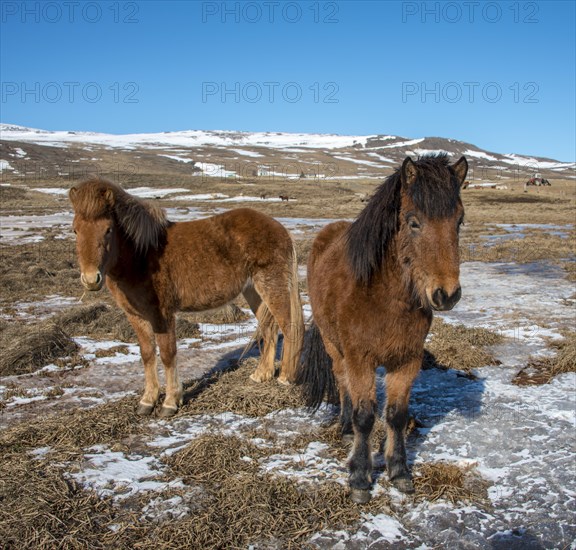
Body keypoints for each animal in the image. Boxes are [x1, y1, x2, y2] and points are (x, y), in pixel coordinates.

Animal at [69, 180, 304, 418]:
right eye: (75, 230)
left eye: (108, 230)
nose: (91, 279)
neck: (141, 256)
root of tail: (280, 229)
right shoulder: (135, 315)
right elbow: (147, 355)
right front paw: (147, 401)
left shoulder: (161, 315)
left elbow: (167, 354)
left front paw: (170, 403)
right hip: (253, 291)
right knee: (269, 327)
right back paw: (261, 375)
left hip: (272, 286)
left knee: (289, 327)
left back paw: (285, 378)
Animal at [296, 154, 468, 504]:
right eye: (414, 222)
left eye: (459, 220)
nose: (447, 295)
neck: (385, 297)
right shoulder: (360, 358)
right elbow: (365, 416)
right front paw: (360, 478)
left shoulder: (406, 360)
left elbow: (396, 415)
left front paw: (399, 471)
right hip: (334, 346)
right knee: (342, 382)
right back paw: (345, 427)